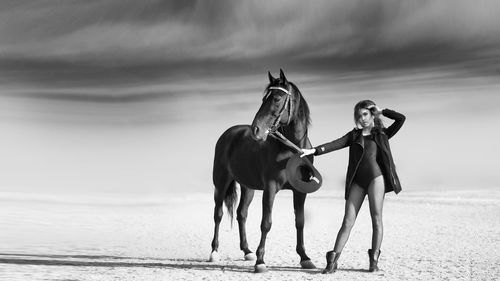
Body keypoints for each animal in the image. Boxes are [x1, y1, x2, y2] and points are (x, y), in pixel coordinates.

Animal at [210, 69, 316, 272]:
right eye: (263, 99)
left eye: (277, 98)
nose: (256, 130)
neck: (291, 151)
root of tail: (229, 133)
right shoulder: (271, 188)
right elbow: (266, 223)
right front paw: (260, 262)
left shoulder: (300, 191)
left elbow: (300, 222)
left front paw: (305, 258)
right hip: (221, 182)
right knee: (218, 214)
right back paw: (214, 252)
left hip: (248, 187)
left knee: (241, 214)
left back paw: (247, 251)